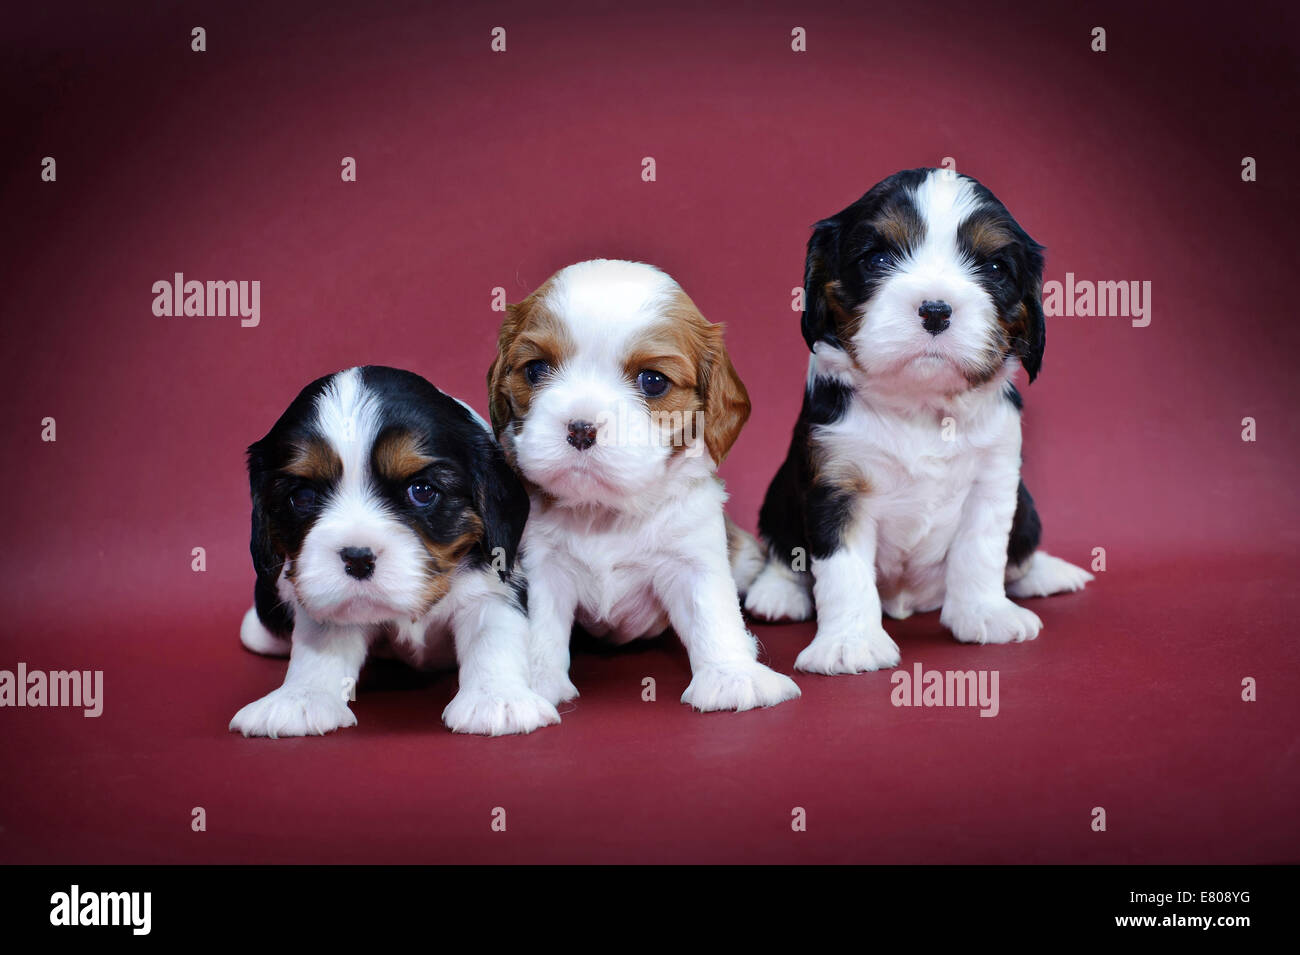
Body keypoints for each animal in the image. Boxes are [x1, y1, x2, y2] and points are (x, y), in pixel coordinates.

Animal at [233, 366, 559, 738]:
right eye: (301, 497)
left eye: (422, 490)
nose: (357, 558)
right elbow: (320, 643)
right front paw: (299, 699)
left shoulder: (494, 582)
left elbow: (493, 635)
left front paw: (497, 699)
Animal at [491, 259, 800, 712]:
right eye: (535, 369)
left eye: (653, 381)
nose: (581, 428)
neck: (605, 511)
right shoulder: (541, 565)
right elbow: (541, 625)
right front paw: (530, 683)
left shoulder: (693, 556)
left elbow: (713, 613)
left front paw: (733, 676)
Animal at [748, 167, 1092, 675]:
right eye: (878, 258)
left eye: (994, 269)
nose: (935, 310)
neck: (921, 404)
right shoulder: (835, 481)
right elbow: (842, 568)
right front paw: (850, 642)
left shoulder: (995, 476)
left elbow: (982, 549)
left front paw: (986, 614)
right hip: (778, 493)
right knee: (781, 545)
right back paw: (777, 593)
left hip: (1027, 506)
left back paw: (1045, 573)